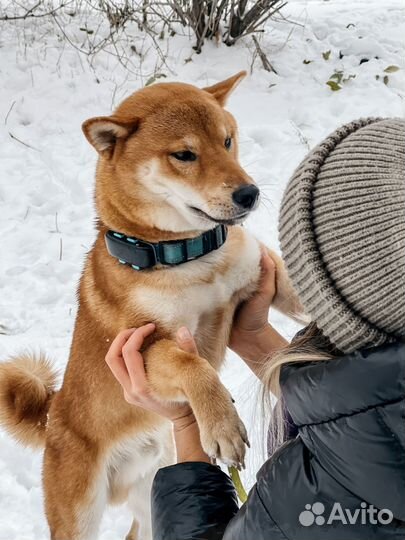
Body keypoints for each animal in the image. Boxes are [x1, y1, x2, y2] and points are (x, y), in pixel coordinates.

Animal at [0, 71, 302, 540]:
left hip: (151, 489)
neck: (190, 256)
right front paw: (222, 424)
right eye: (184, 154)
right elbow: (193, 367)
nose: (249, 194)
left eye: (228, 140)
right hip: (79, 511)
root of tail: (52, 417)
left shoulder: (263, 279)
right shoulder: (143, 344)